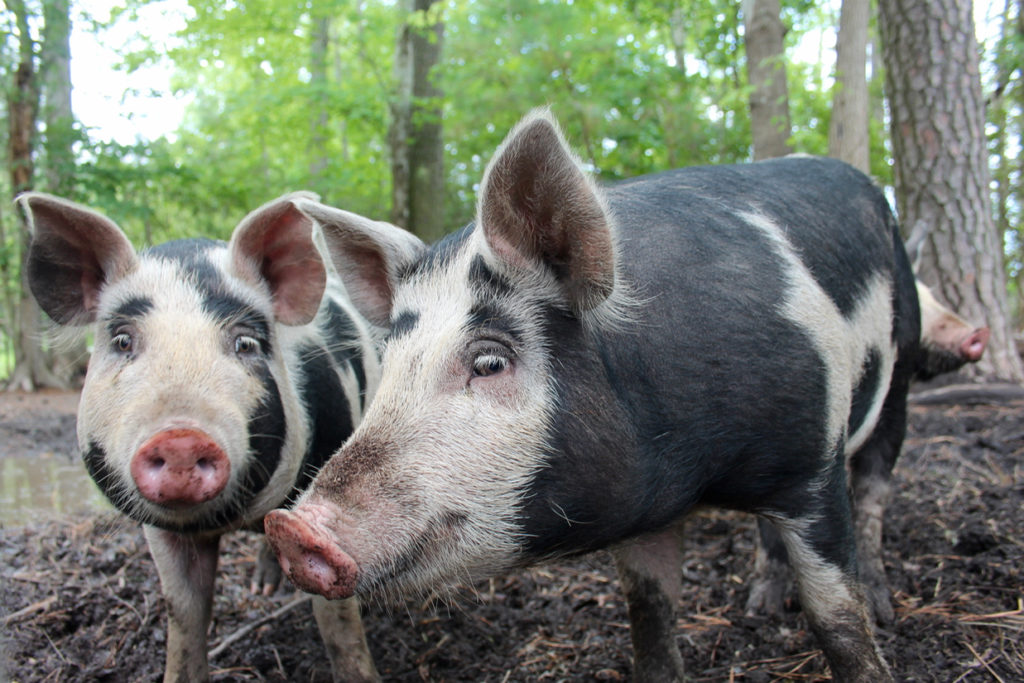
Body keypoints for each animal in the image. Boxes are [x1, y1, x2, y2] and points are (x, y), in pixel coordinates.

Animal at [20, 192, 387, 683]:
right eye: (122, 341)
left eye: (246, 344)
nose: (180, 438)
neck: (231, 519)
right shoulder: (161, 530)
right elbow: (184, 612)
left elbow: (338, 621)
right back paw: (262, 589)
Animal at [265, 110, 908, 681]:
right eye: (391, 360)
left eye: (490, 361)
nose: (291, 528)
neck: (696, 476)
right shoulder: (645, 518)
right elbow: (649, 617)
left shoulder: (811, 465)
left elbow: (836, 616)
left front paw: (867, 648)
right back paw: (762, 604)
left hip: (901, 370)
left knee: (877, 486)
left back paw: (883, 603)